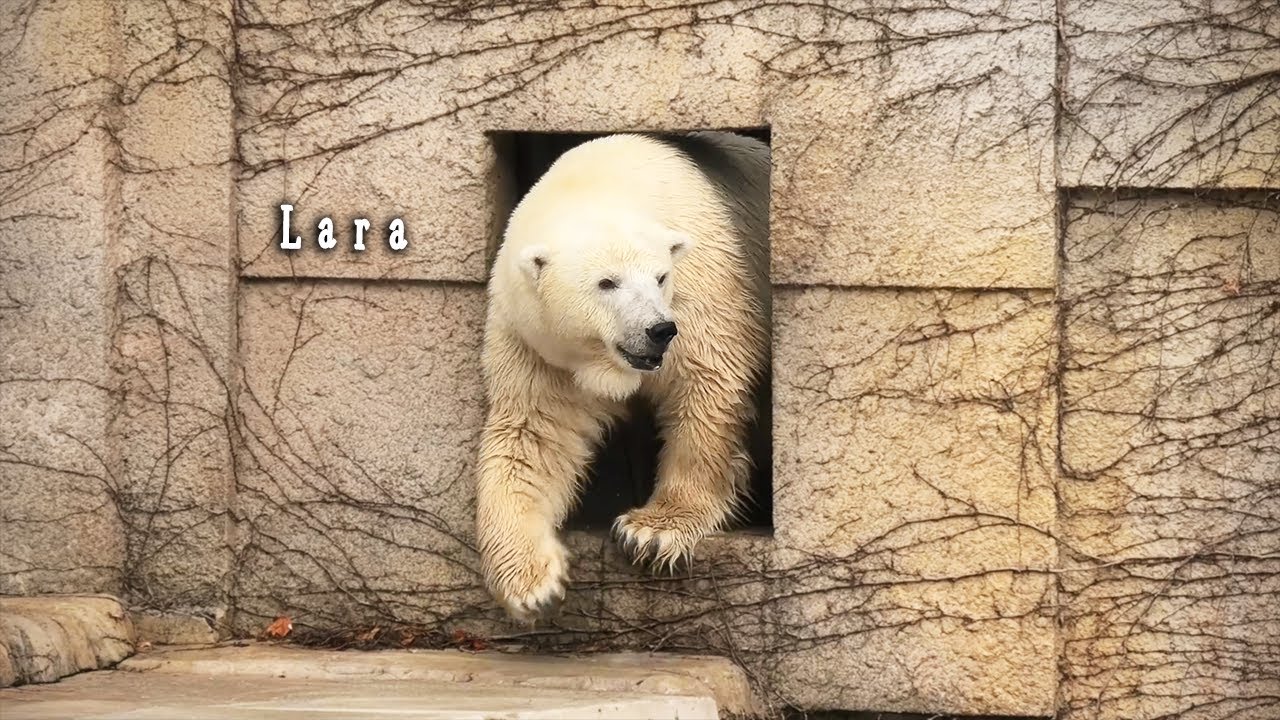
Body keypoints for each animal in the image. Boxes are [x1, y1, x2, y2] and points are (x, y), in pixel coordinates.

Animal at [476, 131, 770, 623]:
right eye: (607, 282)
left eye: (660, 276)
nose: (658, 330)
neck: (601, 180)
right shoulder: (536, 345)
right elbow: (534, 434)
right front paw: (532, 584)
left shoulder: (703, 285)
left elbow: (706, 383)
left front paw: (652, 532)